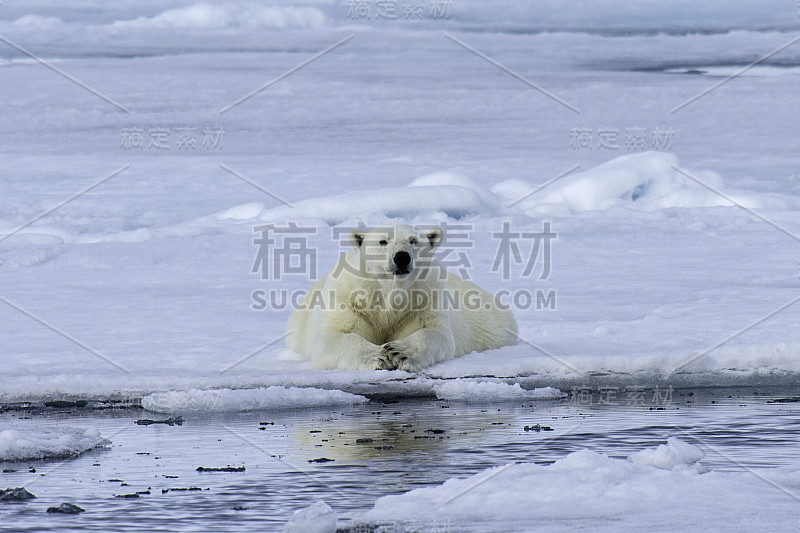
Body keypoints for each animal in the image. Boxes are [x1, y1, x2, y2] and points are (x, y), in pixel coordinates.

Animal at [288, 224, 520, 370]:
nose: (401, 257)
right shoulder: (348, 300)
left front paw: (398, 351)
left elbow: (435, 333)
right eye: (383, 241)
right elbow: (333, 337)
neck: (390, 292)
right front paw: (379, 356)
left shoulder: (425, 297)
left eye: (413, 240)